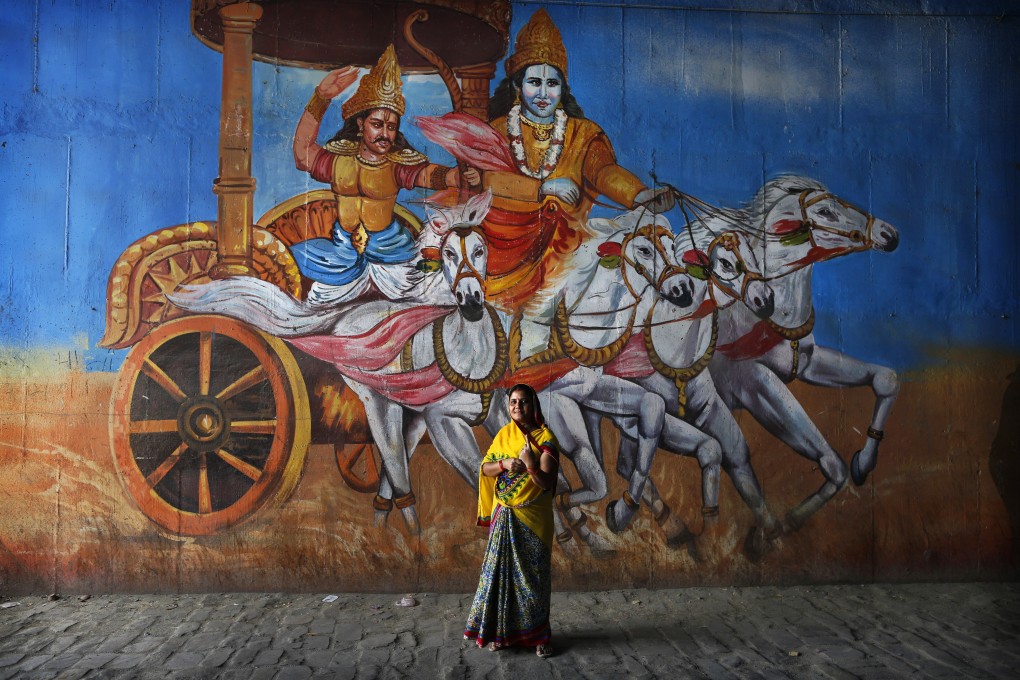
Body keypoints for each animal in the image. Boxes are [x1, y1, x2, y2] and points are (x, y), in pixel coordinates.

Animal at [693, 177, 901, 538]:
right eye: (826, 211)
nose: (889, 234)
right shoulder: (754, 384)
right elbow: (832, 463)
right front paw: (777, 530)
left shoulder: (807, 364)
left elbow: (885, 378)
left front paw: (863, 464)